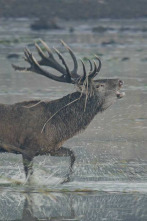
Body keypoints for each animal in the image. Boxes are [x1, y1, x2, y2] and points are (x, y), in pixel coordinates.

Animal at [0, 39, 124, 183]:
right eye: (99, 85)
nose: (120, 81)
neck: (56, 128)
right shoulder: (27, 149)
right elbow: (30, 179)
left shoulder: (51, 148)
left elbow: (73, 154)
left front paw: (65, 179)